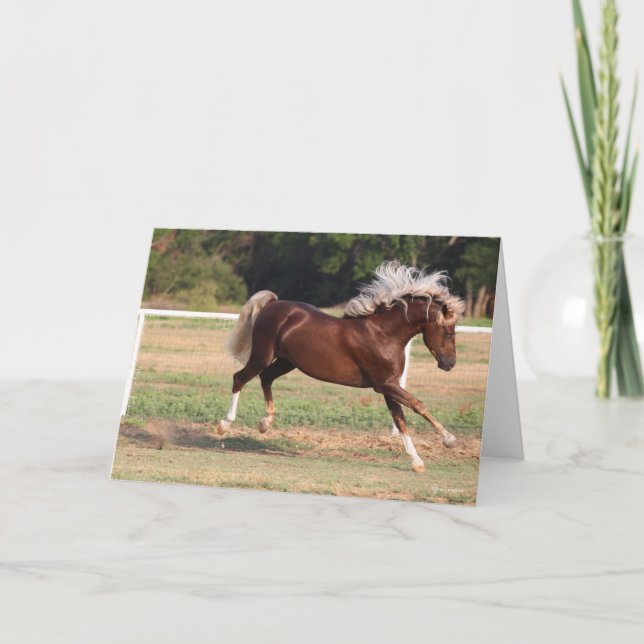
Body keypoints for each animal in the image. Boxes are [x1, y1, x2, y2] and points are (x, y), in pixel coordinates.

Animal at [217, 261, 466, 473]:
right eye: (448, 332)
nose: (450, 364)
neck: (383, 334)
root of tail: (273, 303)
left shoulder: (389, 386)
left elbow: (400, 420)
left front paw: (417, 462)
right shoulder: (385, 385)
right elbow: (418, 405)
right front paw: (450, 440)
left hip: (286, 362)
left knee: (266, 378)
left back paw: (265, 424)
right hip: (262, 355)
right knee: (239, 378)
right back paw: (224, 425)